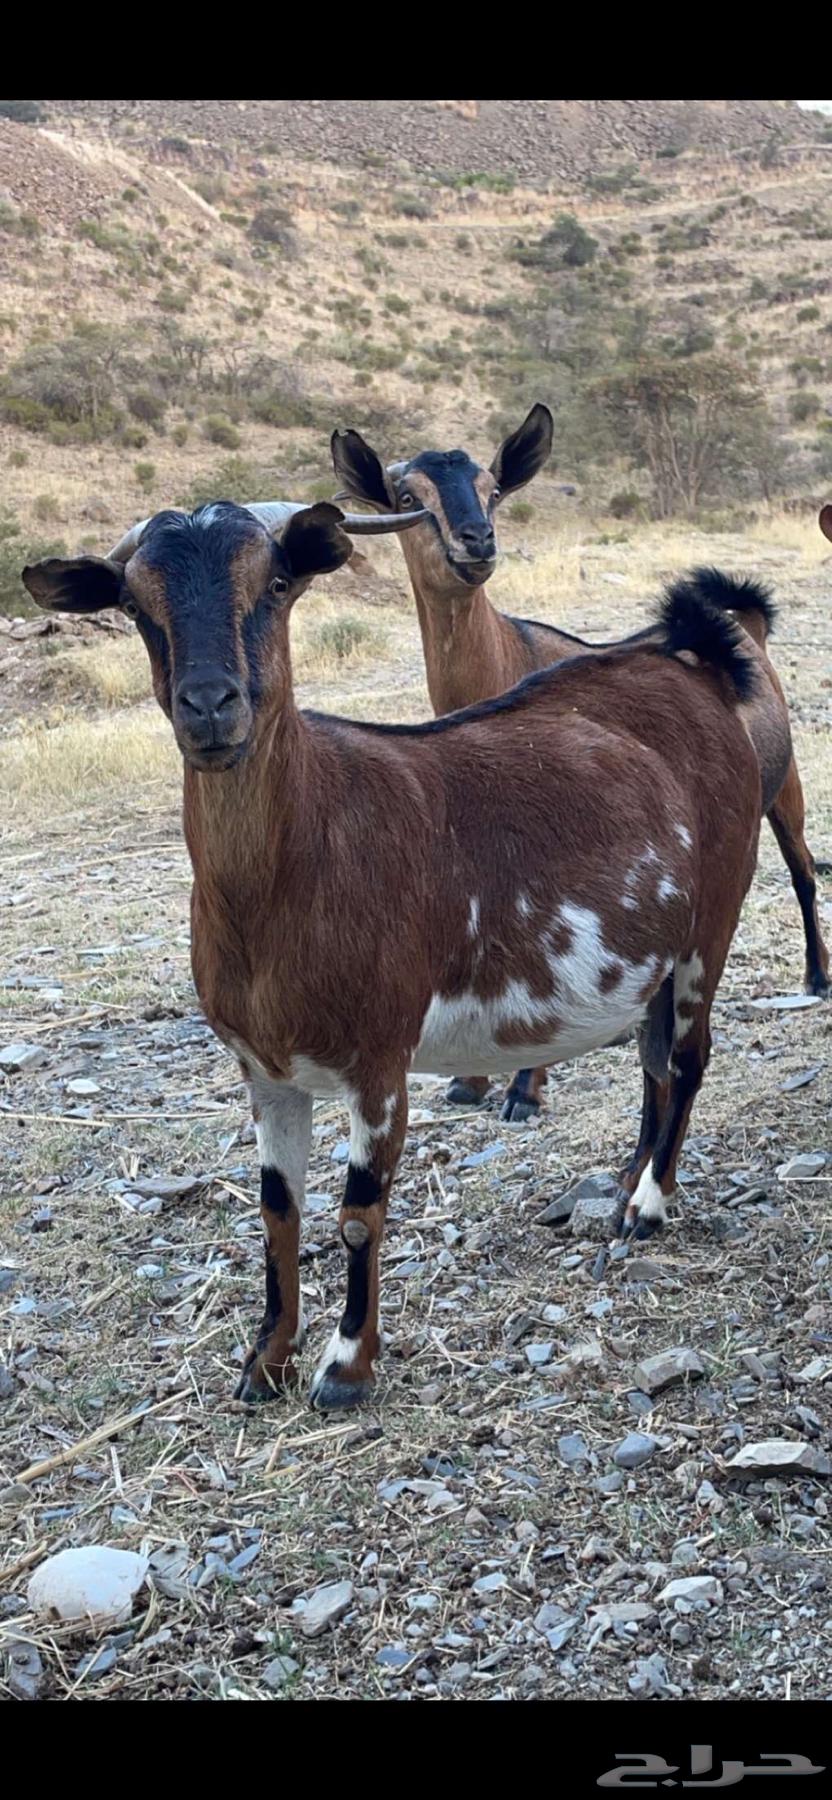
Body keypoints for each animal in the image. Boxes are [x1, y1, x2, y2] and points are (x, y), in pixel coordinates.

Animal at [25, 502, 762, 1412]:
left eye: (276, 582)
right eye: (133, 603)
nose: (210, 706)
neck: (300, 863)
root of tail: (692, 665)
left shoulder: (378, 1059)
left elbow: (356, 1214)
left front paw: (346, 1368)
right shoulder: (264, 1069)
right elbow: (278, 1211)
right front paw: (265, 1362)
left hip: (713, 920)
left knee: (690, 1058)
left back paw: (652, 1206)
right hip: (651, 956)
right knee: (655, 1062)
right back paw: (627, 1189)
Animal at [332, 409, 830, 1130]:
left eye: (493, 488)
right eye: (406, 497)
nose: (477, 540)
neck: (507, 660)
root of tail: (747, 627)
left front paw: (523, 1088)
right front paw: (471, 1081)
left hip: (782, 788)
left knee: (802, 870)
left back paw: (817, 976)